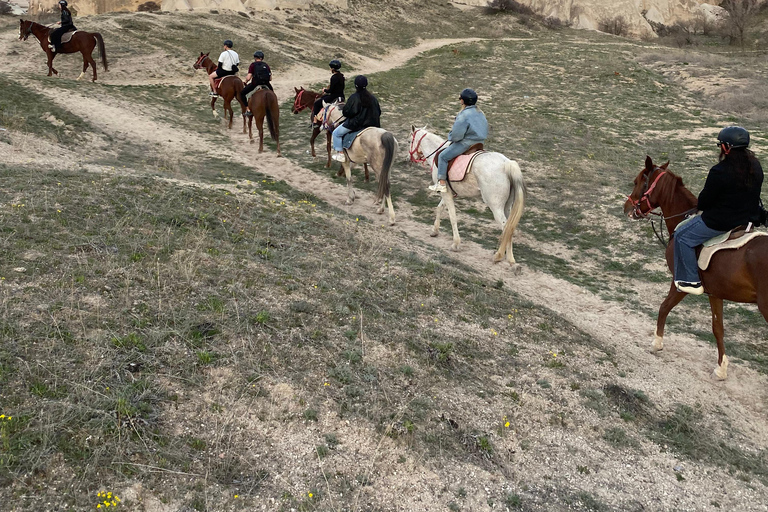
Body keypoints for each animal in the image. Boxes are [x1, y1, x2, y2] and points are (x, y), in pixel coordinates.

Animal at [408, 126, 528, 266]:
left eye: (409, 141)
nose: (409, 158)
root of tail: (506, 163)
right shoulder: (447, 193)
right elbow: (439, 208)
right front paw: (435, 231)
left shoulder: (446, 193)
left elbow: (452, 217)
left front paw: (455, 244)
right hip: (507, 206)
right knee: (510, 227)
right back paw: (510, 258)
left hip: (496, 207)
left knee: (505, 227)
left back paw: (498, 256)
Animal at [624, 156, 768, 380]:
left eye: (637, 181)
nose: (627, 208)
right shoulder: (715, 293)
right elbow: (718, 328)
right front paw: (721, 368)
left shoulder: (681, 282)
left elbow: (664, 306)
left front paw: (657, 342)